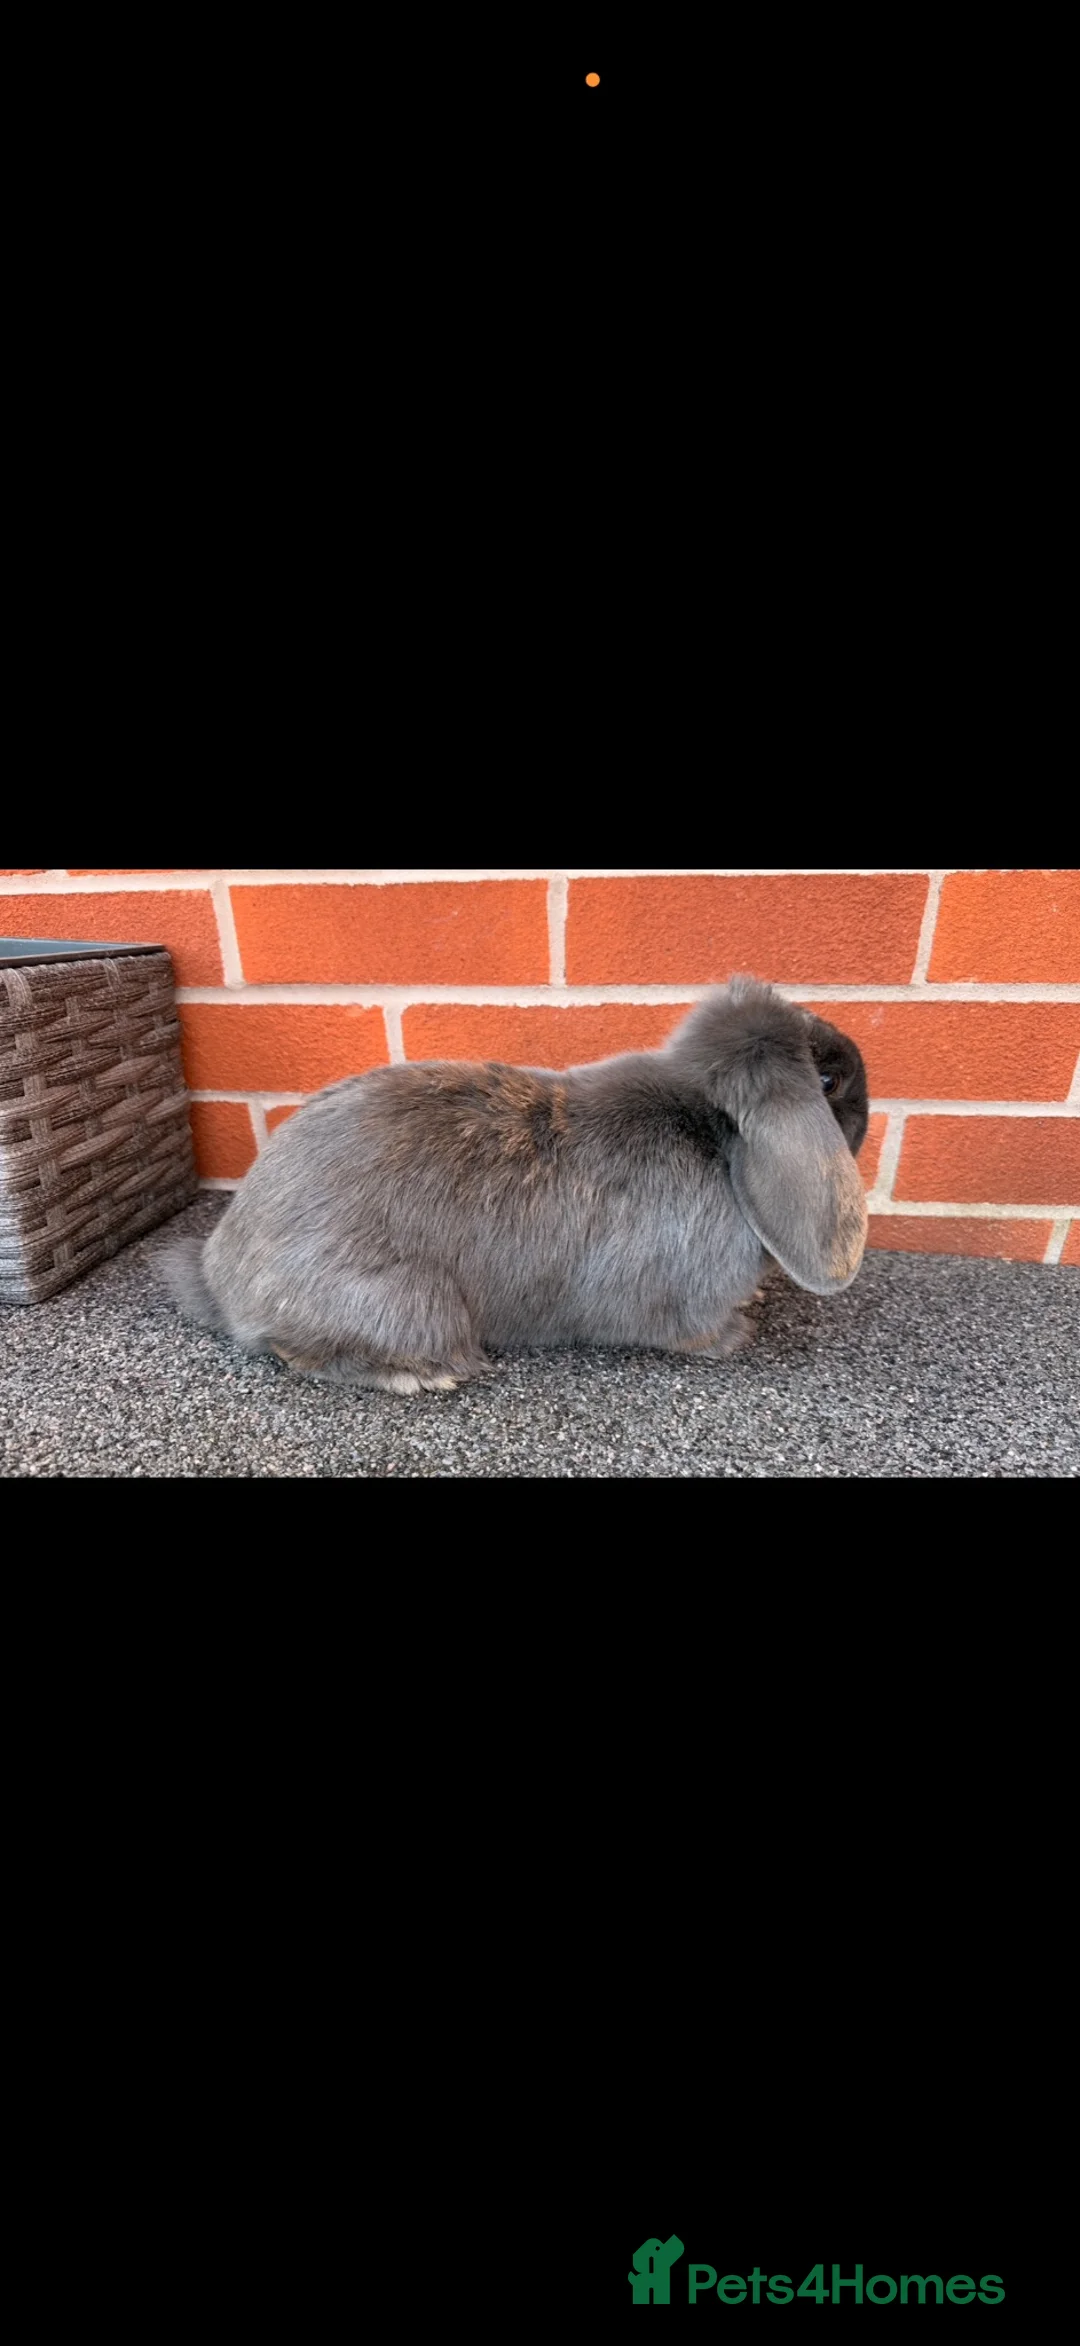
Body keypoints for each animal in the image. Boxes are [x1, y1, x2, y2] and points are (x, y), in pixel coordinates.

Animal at [159, 975, 870, 1394]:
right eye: (828, 1082)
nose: (865, 1083)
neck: (710, 1134)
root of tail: (221, 1278)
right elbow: (692, 1332)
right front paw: (735, 1335)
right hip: (407, 1303)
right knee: (295, 1350)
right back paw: (422, 1376)